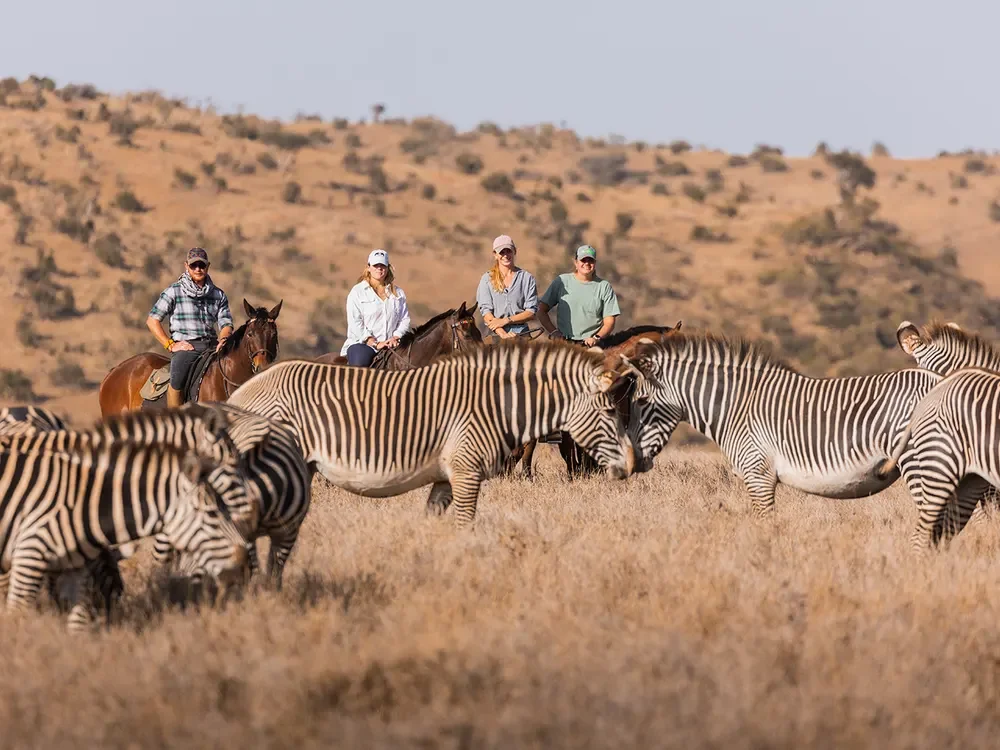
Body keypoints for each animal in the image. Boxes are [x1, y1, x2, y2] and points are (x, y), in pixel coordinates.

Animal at [0, 436, 257, 632]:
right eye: (212, 513)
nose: (244, 561)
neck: (86, 502)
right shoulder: (29, 555)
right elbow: (17, 615)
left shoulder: (74, 569)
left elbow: (78, 622)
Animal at [227, 339, 636, 526]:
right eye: (610, 410)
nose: (633, 465)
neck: (495, 404)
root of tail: (242, 390)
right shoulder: (467, 472)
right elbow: (466, 526)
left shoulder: (445, 477)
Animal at [616, 330, 943, 516]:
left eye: (641, 401)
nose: (630, 465)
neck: (735, 406)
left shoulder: (757, 474)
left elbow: (766, 527)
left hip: (921, 461)